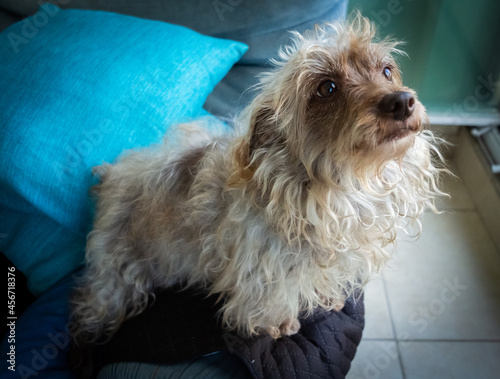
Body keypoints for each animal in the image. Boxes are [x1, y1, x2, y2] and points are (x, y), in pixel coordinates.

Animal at [70, 13, 446, 346]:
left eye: (387, 71)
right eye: (327, 88)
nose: (402, 101)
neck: (342, 188)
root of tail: (110, 175)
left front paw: (329, 298)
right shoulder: (263, 269)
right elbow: (268, 301)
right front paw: (276, 326)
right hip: (116, 269)